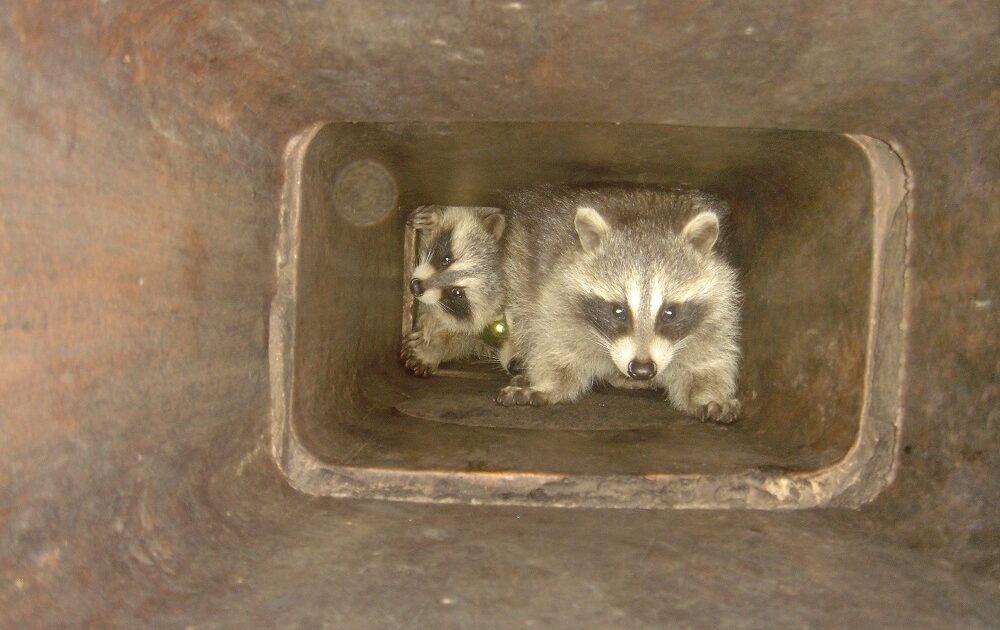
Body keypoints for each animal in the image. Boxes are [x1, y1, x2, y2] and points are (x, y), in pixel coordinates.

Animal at [400, 205, 508, 378]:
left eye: (457, 293)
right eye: (446, 259)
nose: (415, 287)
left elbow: (471, 340)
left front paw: (439, 346)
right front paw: (435, 219)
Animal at [494, 185, 744, 428]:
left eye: (669, 313)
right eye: (618, 311)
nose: (642, 371)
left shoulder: (719, 305)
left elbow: (707, 357)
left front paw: (707, 395)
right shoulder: (557, 291)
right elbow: (555, 345)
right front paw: (547, 384)